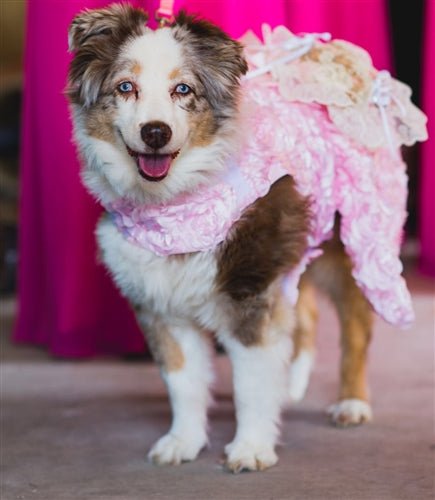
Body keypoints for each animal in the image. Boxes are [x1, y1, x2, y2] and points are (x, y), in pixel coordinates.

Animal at [66, 3, 418, 472]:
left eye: (183, 89)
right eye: (126, 87)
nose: (155, 132)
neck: (174, 203)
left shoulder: (248, 287)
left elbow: (250, 382)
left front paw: (251, 447)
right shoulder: (162, 301)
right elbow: (182, 381)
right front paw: (183, 441)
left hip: (359, 245)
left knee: (357, 329)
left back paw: (352, 403)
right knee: (305, 314)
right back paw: (290, 385)